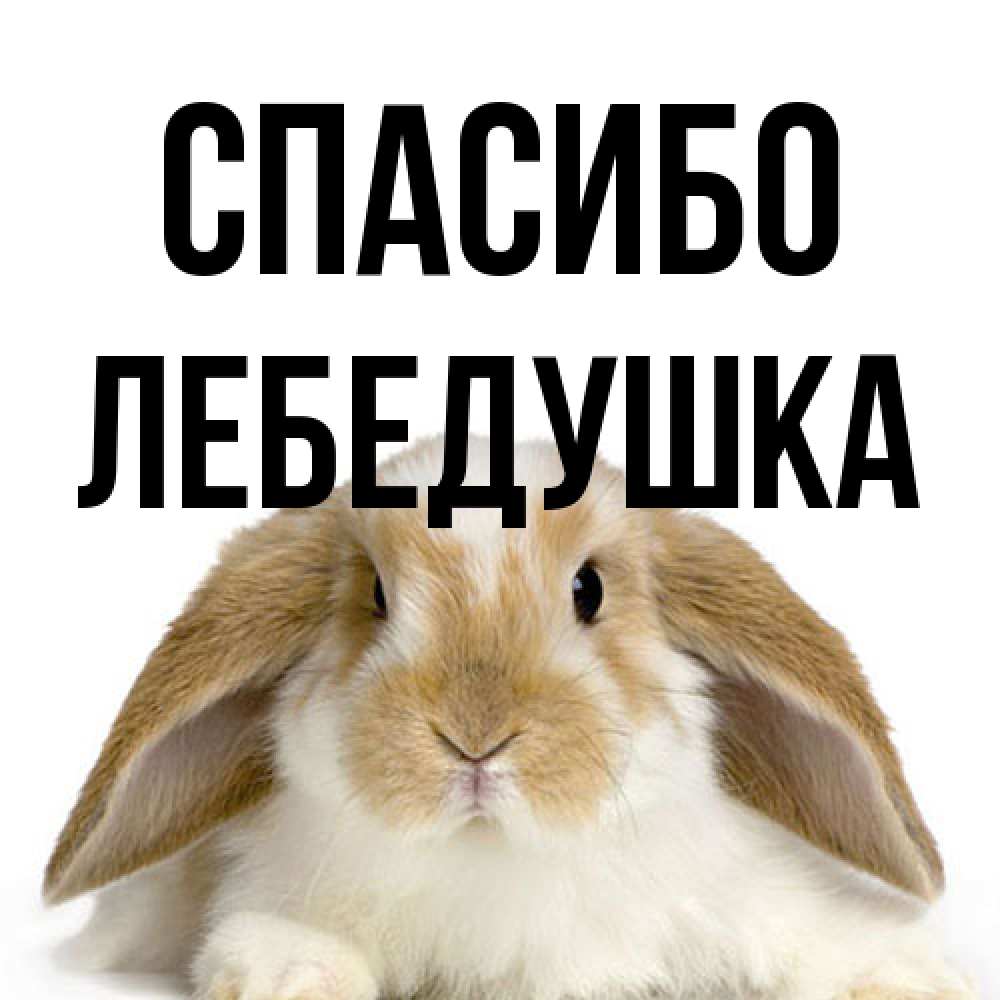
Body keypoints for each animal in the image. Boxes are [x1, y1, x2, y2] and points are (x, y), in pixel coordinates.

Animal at [45, 436, 975, 1000]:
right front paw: (290, 976)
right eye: (376, 596)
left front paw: (909, 978)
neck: (495, 857)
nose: (475, 737)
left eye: (589, 589)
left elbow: (817, 939)